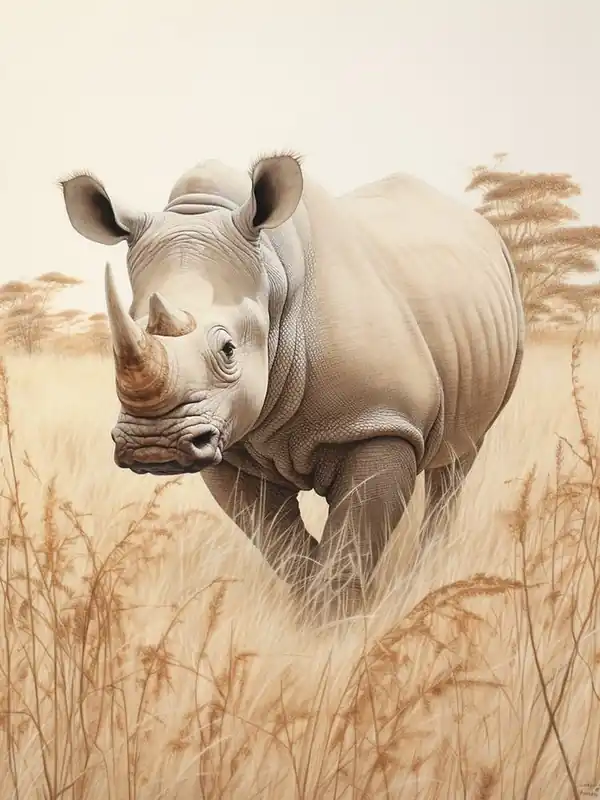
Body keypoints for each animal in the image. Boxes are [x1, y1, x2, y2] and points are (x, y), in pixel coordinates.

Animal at [60, 153, 525, 619]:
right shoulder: (230, 446)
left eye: (228, 349)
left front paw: (339, 622)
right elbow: (278, 540)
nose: (153, 445)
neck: (273, 279)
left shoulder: (383, 421)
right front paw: (311, 613)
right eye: (114, 345)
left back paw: (429, 571)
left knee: (458, 460)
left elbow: (352, 537)